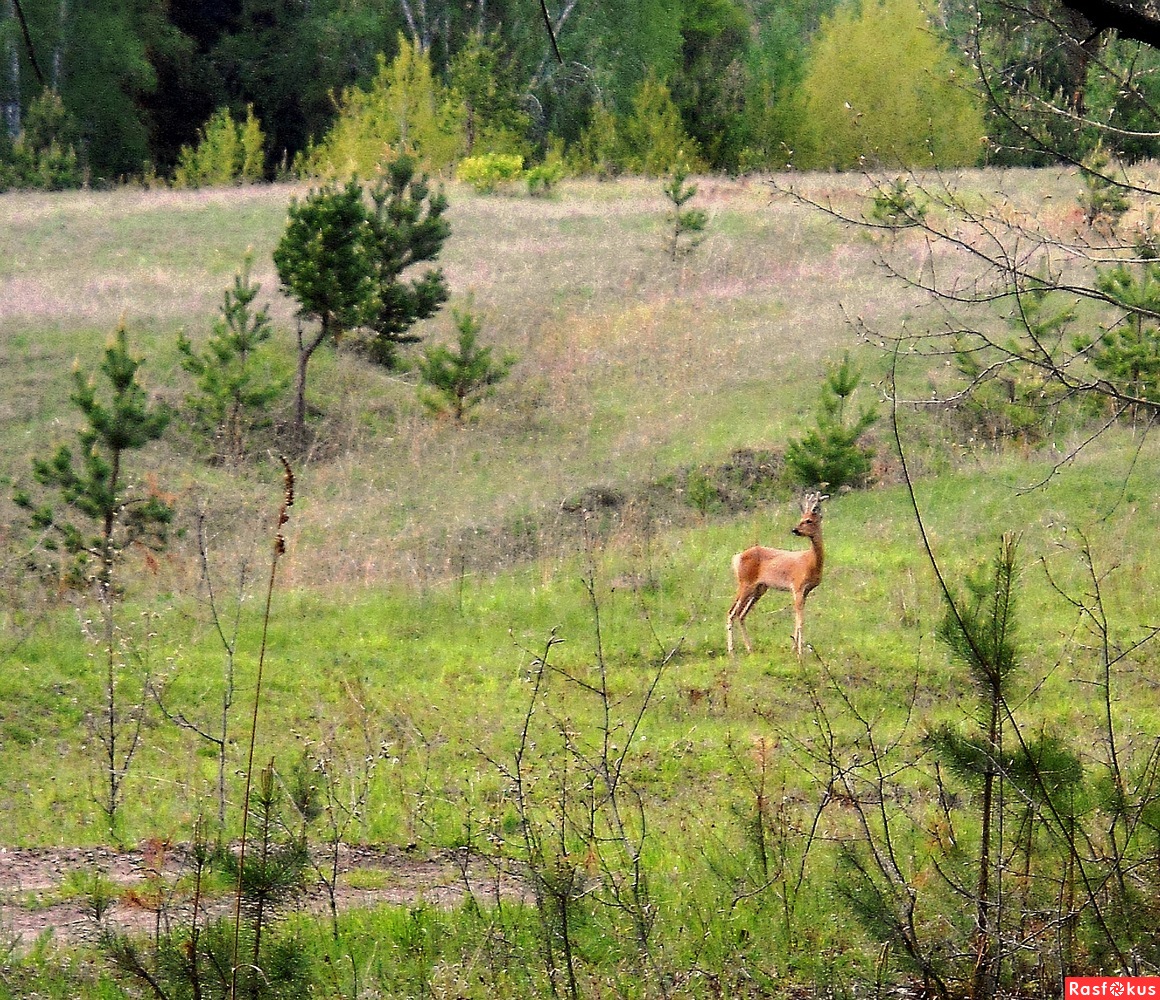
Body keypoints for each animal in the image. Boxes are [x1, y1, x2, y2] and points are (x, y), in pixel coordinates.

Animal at [723, 491, 825, 658]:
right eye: (801, 519)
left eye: (808, 520)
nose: (794, 530)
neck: (810, 561)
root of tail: (737, 557)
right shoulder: (797, 586)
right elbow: (800, 620)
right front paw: (799, 651)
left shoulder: (805, 591)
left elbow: (797, 619)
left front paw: (794, 648)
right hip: (745, 583)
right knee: (732, 612)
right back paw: (732, 651)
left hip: (759, 588)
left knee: (741, 614)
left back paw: (750, 648)